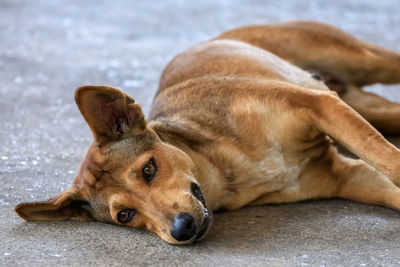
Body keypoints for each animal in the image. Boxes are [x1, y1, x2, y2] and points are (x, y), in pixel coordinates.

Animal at [14, 22, 400, 246]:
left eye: (149, 169)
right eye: (124, 216)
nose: (182, 229)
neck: (229, 166)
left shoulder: (319, 105)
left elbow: (388, 159)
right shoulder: (349, 176)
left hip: (365, 63)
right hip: (374, 110)